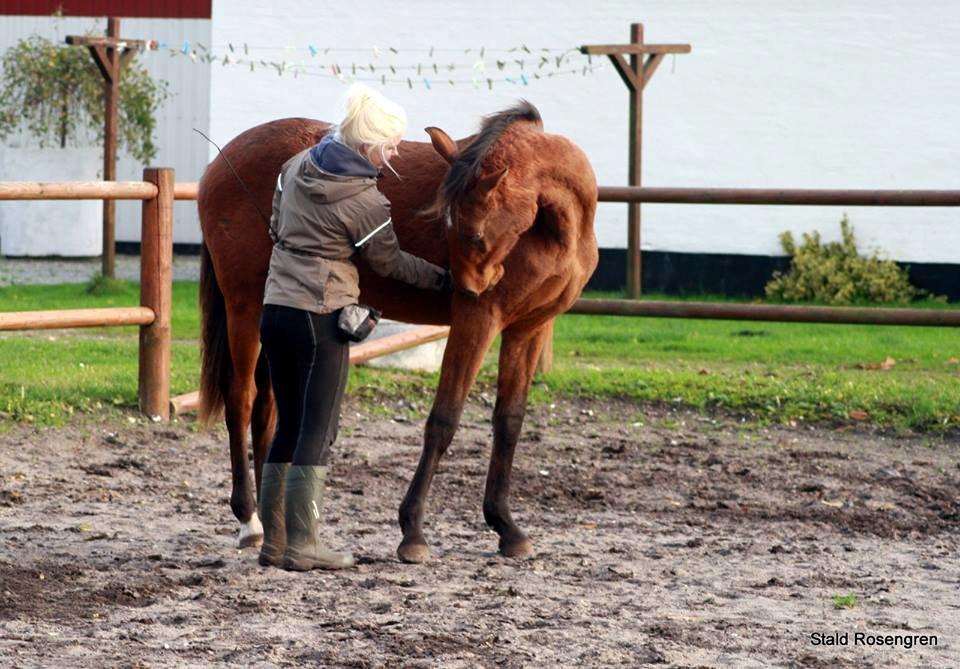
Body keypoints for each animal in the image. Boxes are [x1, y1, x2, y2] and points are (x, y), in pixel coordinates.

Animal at [199, 102, 596, 560]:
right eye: (448, 226)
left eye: (475, 235)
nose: (461, 290)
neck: (555, 228)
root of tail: (220, 161)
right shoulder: (478, 322)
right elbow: (444, 420)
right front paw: (413, 532)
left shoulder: (527, 330)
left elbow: (509, 423)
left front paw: (506, 527)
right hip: (243, 309)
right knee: (241, 401)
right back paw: (250, 520)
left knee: (268, 411)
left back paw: (272, 518)